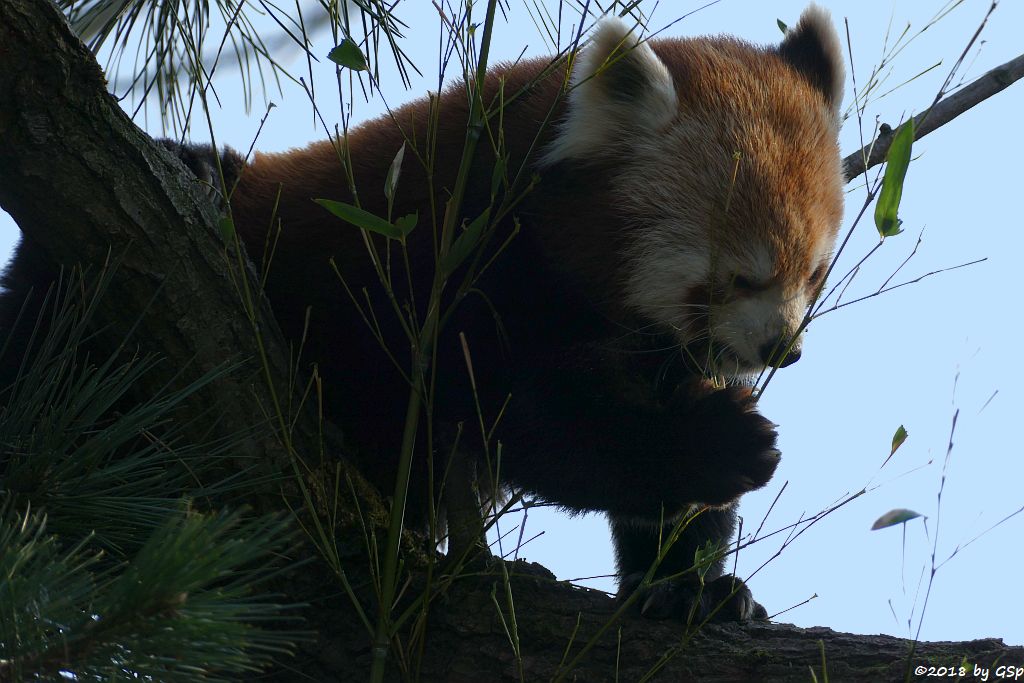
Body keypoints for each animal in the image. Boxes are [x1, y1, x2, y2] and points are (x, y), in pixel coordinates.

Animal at [4, 3, 843, 618]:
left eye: (813, 273)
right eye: (740, 276)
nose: (783, 350)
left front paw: (684, 586)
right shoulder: (453, 269)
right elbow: (535, 426)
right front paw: (716, 445)